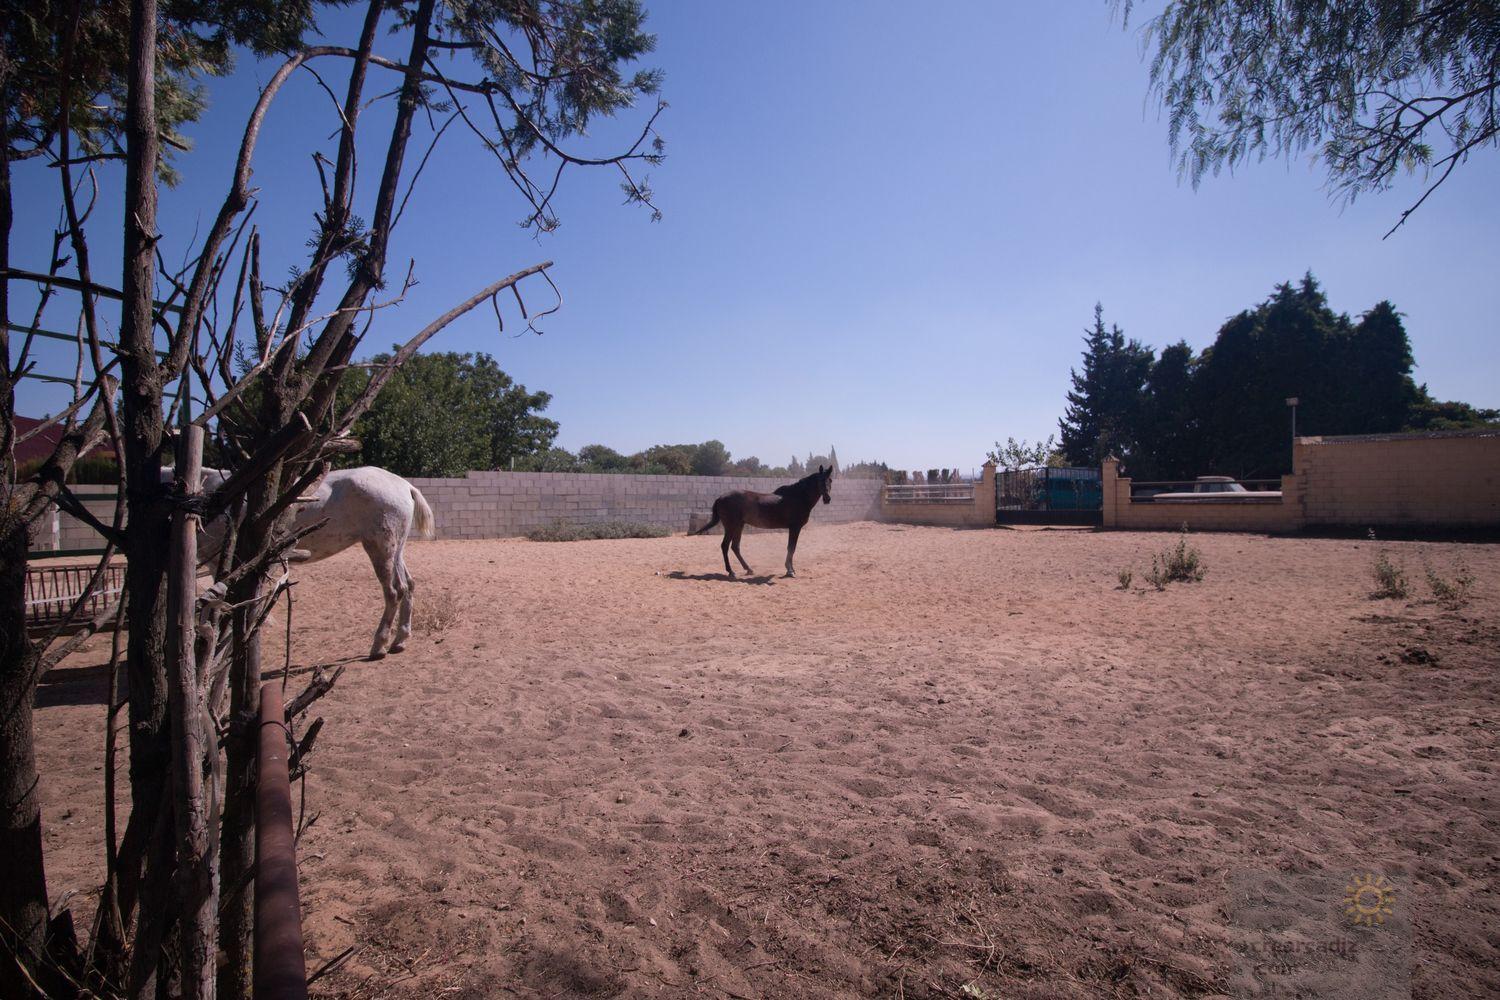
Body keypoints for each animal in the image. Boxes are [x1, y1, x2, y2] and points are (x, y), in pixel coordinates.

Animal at [166, 467, 435, 656]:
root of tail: (404, 485)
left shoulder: (220, 563)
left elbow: (219, 601)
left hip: (380, 548)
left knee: (394, 592)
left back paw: (379, 645)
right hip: (395, 549)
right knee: (408, 586)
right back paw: (399, 640)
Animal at [690, 467, 834, 578]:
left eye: (830, 480)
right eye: (820, 480)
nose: (827, 499)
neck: (798, 496)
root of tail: (720, 497)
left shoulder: (794, 528)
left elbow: (791, 548)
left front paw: (791, 569)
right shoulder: (795, 527)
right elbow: (791, 548)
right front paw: (790, 571)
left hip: (739, 526)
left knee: (735, 547)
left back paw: (748, 569)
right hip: (731, 527)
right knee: (725, 546)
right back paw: (731, 572)